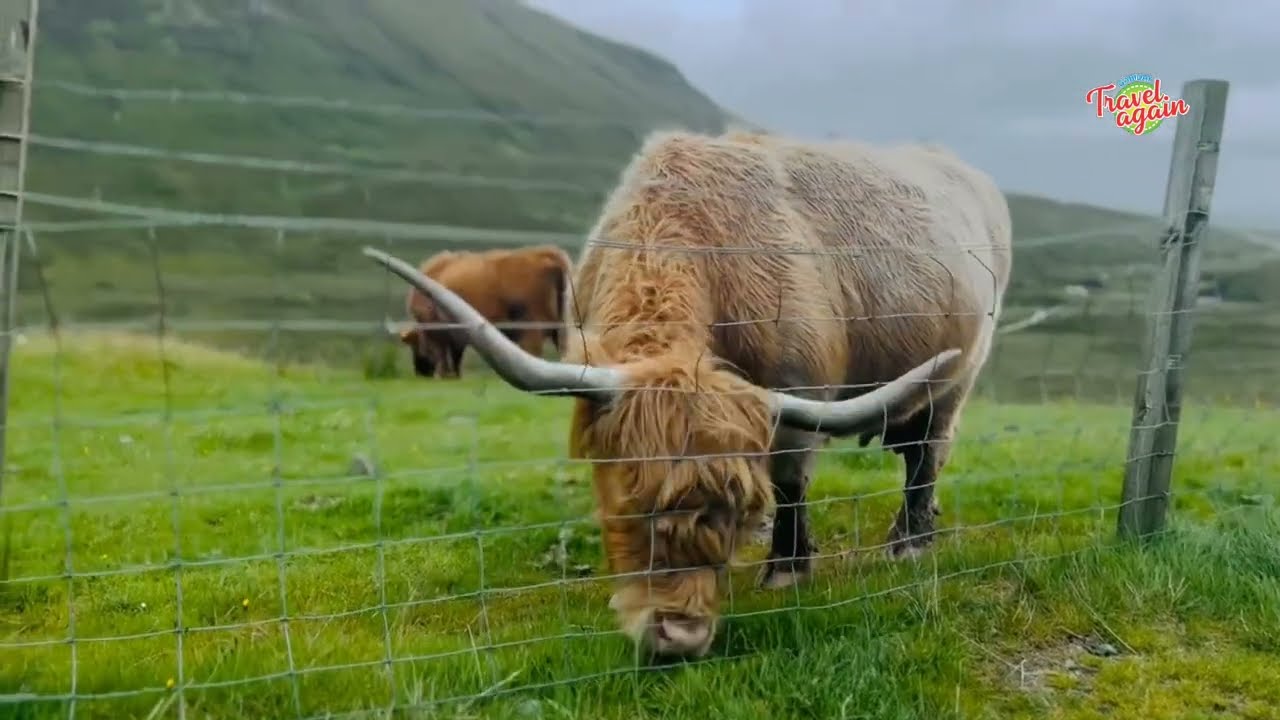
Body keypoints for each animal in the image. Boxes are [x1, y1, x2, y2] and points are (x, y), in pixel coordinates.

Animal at [396, 245, 573, 378]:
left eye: (413, 345)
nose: (420, 372)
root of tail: (543, 253)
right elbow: (456, 355)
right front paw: (455, 375)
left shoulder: (439, 332)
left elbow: (444, 354)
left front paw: (445, 375)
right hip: (560, 326)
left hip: (533, 326)